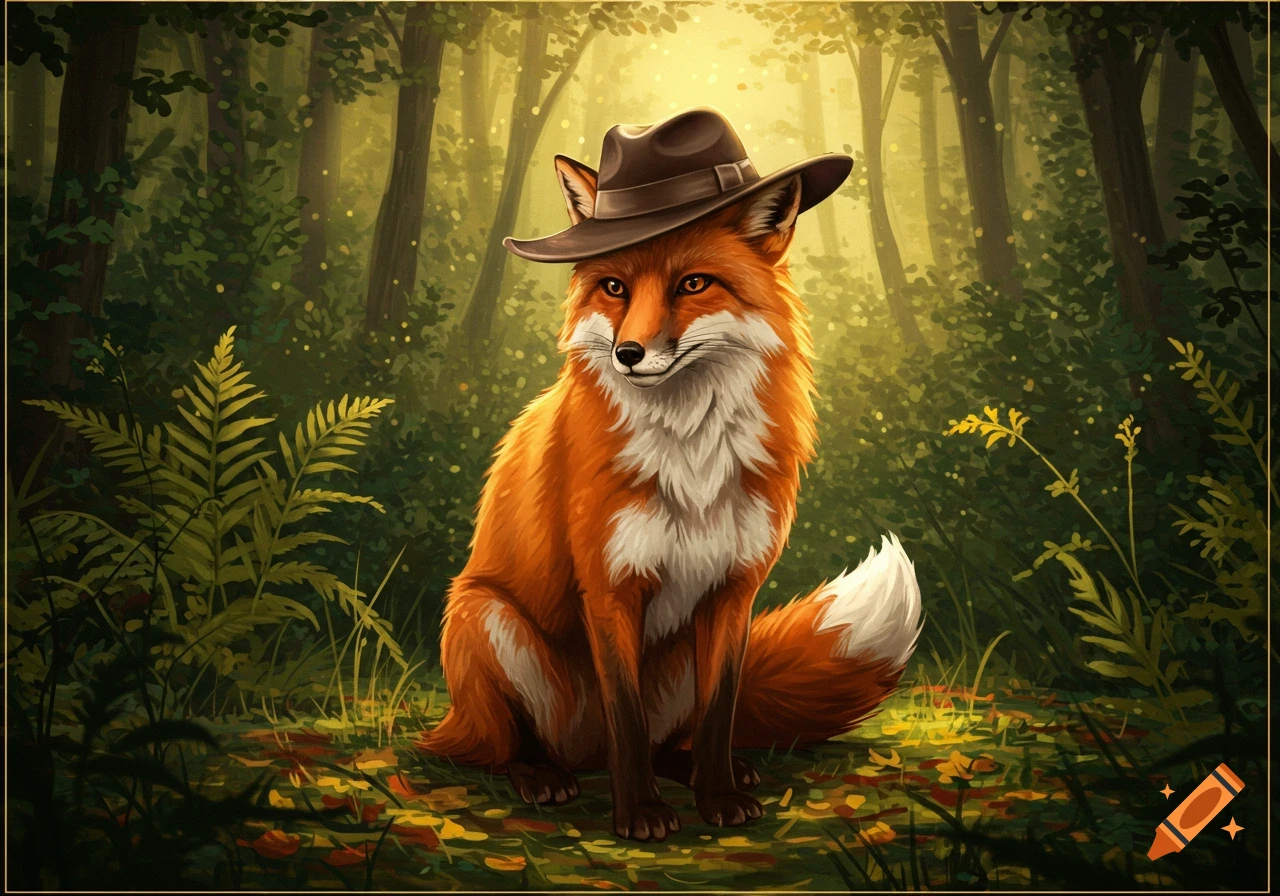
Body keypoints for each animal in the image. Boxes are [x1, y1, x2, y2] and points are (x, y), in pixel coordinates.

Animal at [419, 146, 922, 842]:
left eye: (692, 284)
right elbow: (626, 721)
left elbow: (717, 716)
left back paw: (716, 772)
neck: (692, 457)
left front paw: (718, 798)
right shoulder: (610, 589)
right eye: (615, 288)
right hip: (482, 617)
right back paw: (541, 775)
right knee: (504, 748)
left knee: (672, 742)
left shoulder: (733, 590)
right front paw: (639, 814)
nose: (628, 353)